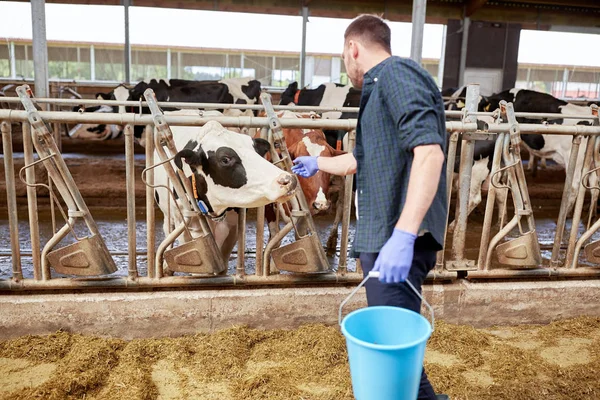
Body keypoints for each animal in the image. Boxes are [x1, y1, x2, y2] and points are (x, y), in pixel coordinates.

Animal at [152, 110, 298, 266]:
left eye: (256, 152)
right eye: (225, 159)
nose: (288, 179)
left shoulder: (232, 228)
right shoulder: (187, 226)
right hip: (168, 215)